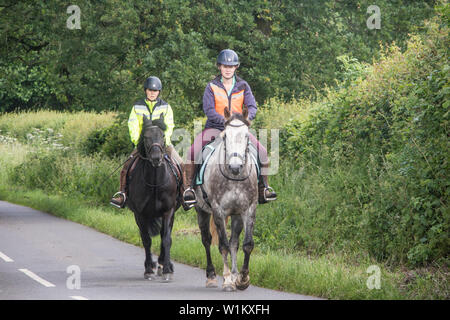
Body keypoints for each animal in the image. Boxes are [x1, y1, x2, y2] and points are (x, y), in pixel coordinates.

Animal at [125, 114, 180, 282]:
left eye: (162, 135)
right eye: (146, 137)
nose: (156, 158)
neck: (155, 182)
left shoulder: (168, 211)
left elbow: (166, 239)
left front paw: (167, 269)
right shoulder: (140, 214)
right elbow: (146, 240)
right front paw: (149, 269)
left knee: (164, 235)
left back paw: (163, 265)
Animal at [192, 106, 256, 292]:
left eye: (246, 135)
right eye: (226, 136)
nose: (235, 167)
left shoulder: (248, 209)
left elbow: (247, 244)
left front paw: (242, 279)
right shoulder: (218, 211)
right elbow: (223, 246)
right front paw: (227, 280)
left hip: (236, 215)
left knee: (235, 242)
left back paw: (235, 276)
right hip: (202, 211)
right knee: (207, 240)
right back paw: (212, 276)